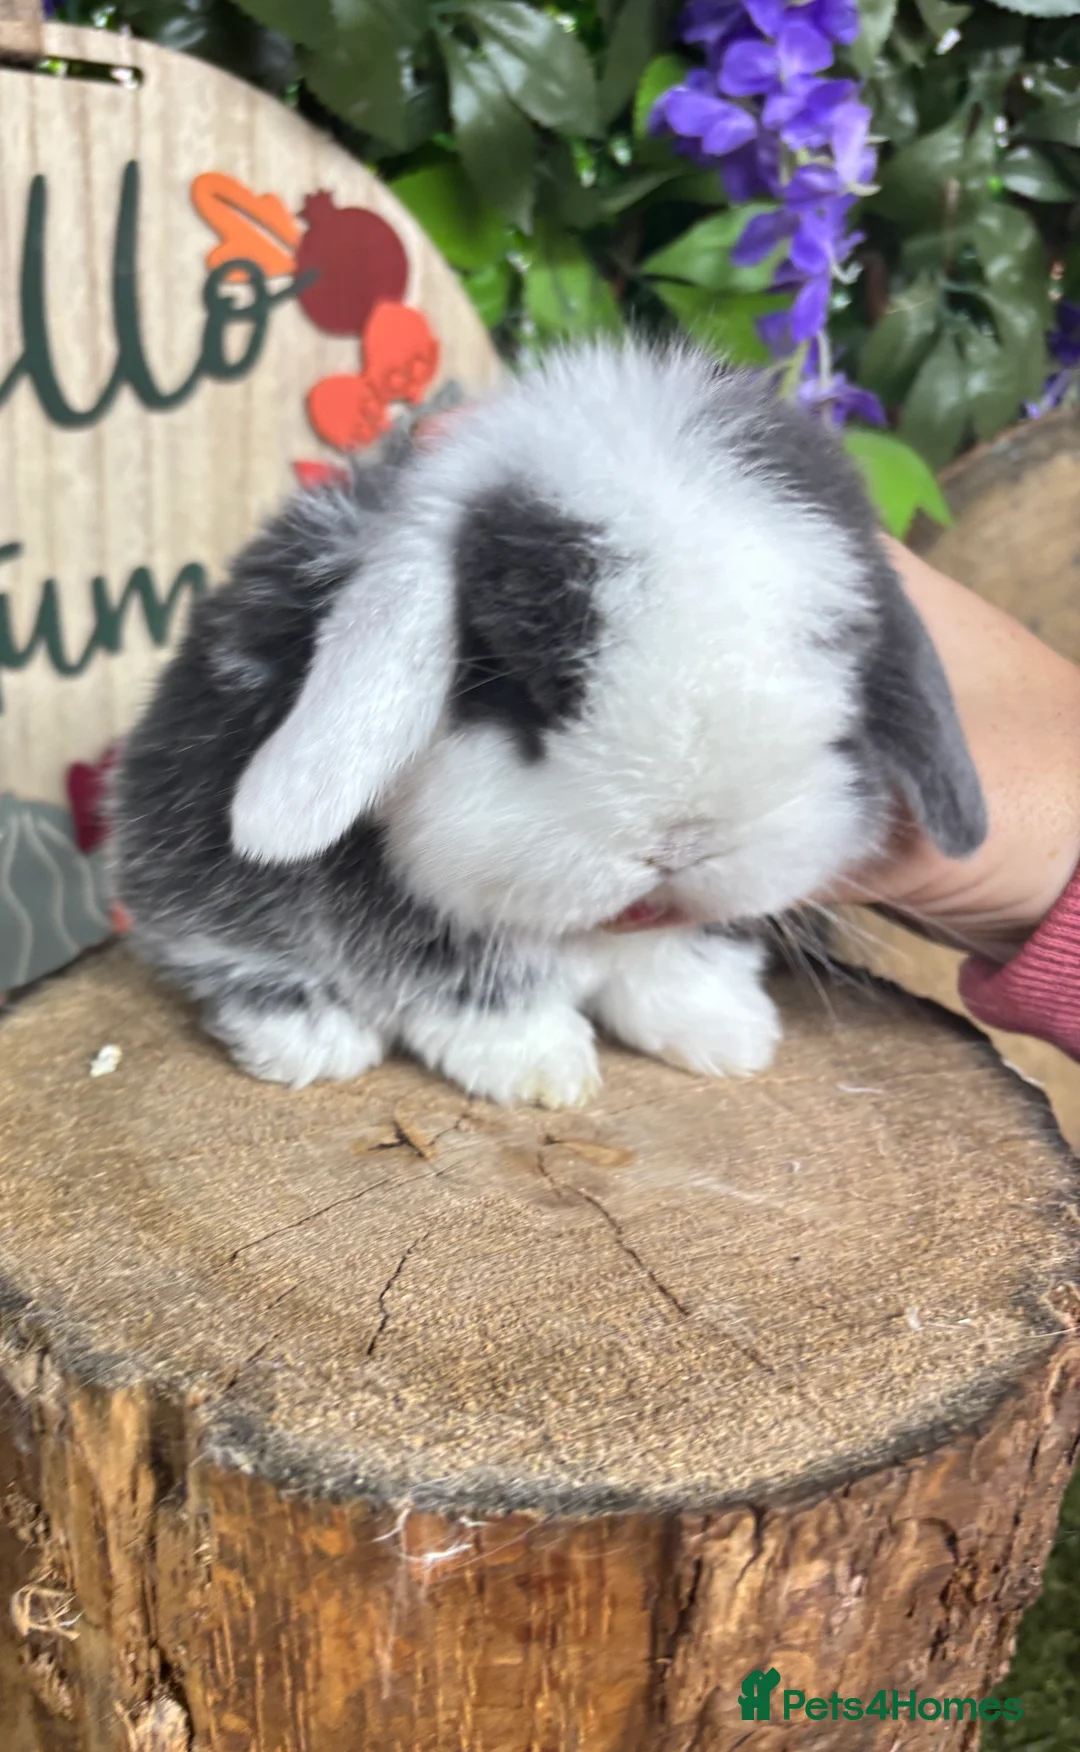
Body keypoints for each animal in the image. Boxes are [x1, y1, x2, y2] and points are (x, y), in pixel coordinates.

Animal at [109, 337, 986, 1108]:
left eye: (838, 658)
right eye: (529, 685)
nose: (680, 845)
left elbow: (674, 965)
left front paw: (726, 1033)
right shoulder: (425, 926)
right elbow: (475, 988)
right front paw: (544, 1070)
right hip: (179, 856)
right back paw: (310, 1041)